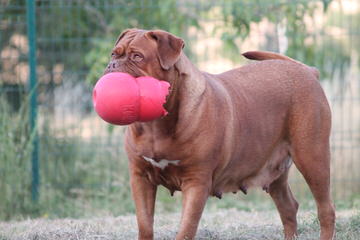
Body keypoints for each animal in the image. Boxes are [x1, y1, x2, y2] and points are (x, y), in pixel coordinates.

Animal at [103, 29, 334, 239]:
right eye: (114, 54)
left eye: (137, 57)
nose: (112, 65)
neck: (157, 125)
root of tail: (307, 70)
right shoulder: (140, 178)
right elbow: (145, 224)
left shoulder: (196, 182)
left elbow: (186, 229)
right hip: (276, 171)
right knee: (288, 208)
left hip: (312, 158)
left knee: (325, 210)